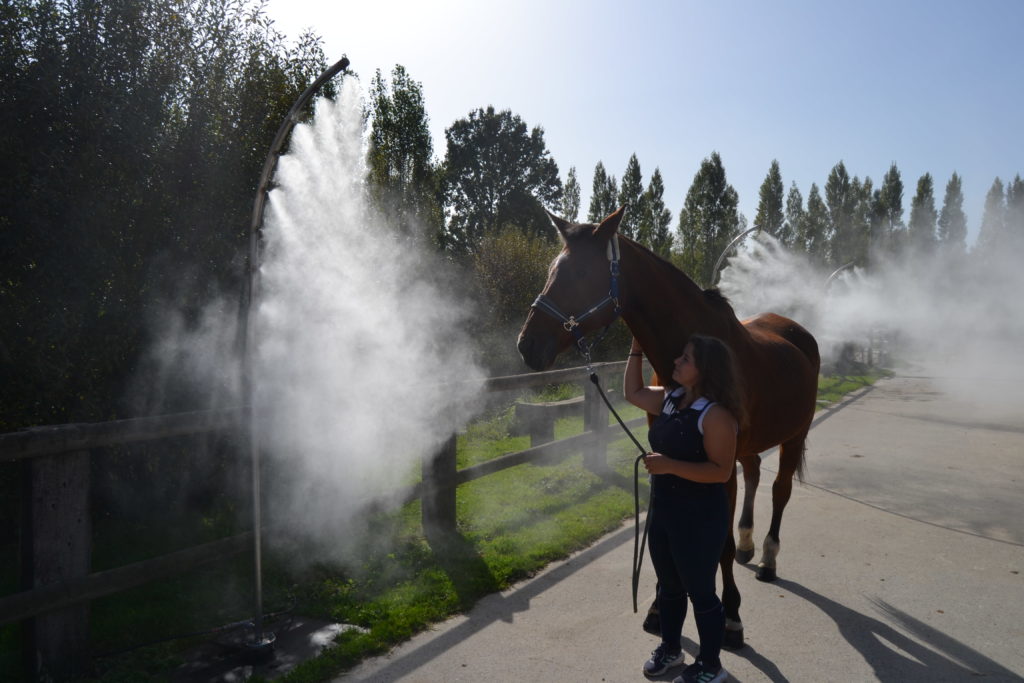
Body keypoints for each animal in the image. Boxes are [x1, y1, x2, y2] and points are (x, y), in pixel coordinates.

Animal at [516, 205, 819, 651]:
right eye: (553, 270)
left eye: (580, 273)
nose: (527, 345)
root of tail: (797, 332)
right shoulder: (662, 454)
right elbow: (666, 532)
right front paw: (660, 609)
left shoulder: (716, 470)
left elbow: (719, 546)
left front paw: (731, 617)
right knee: (754, 475)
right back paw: (749, 544)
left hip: (794, 436)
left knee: (780, 491)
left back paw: (767, 557)